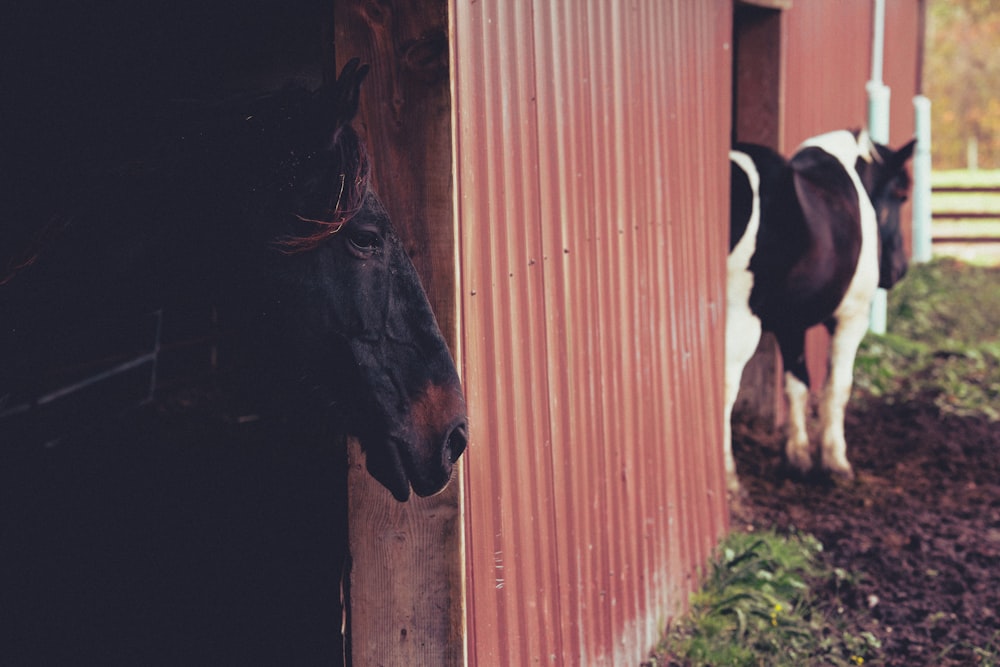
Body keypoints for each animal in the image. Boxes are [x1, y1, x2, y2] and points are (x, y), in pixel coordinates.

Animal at [728, 130, 916, 494]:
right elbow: (837, 388)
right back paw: (727, 475)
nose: (899, 269)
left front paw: (798, 456)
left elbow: (796, 386)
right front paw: (835, 460)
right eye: (902, 195)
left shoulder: (790, 324)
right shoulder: (851, 319)